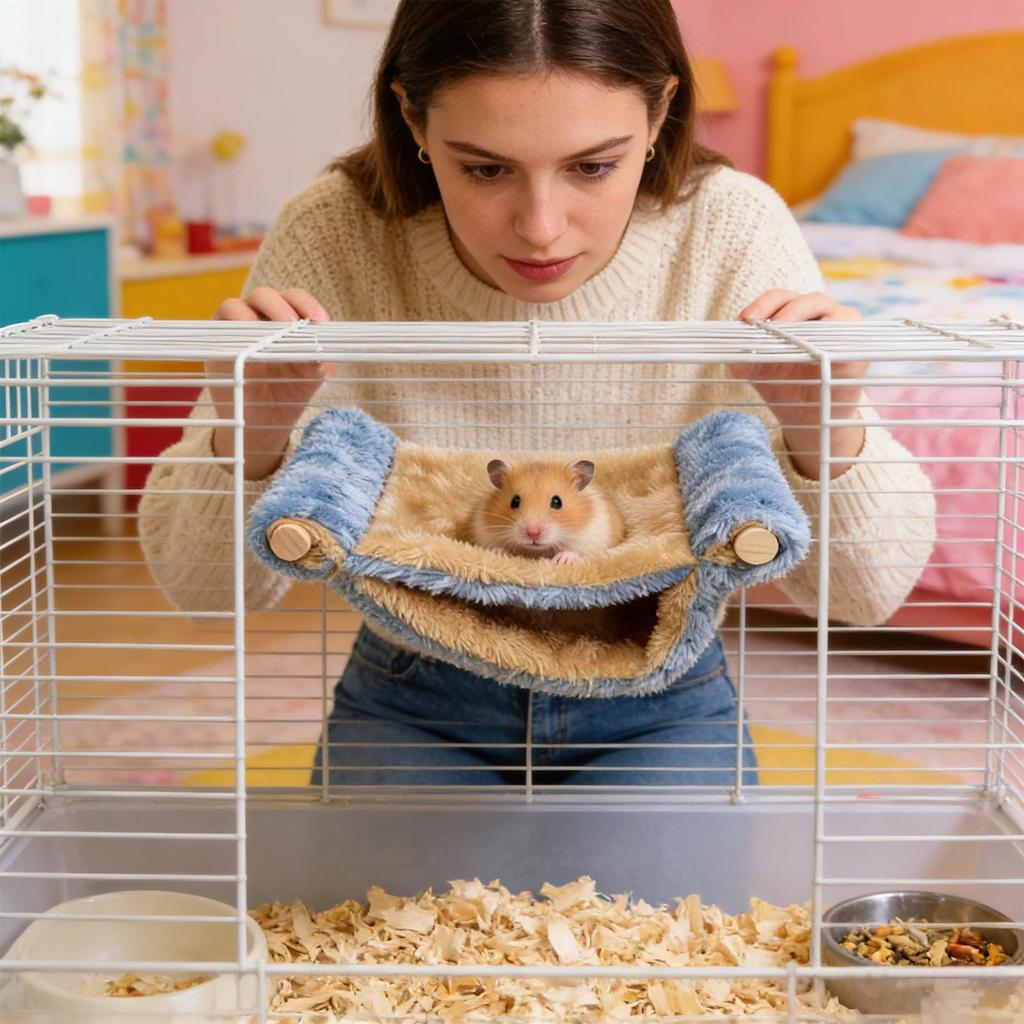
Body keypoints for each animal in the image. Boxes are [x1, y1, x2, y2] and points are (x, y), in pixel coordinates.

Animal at [470, 459, 625, 564]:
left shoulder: (592, 537)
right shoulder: (484, 533)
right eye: (515, 501)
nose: (533, 533)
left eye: (557, 502)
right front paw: (501, 553)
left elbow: (576, 551)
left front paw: (561, 560)